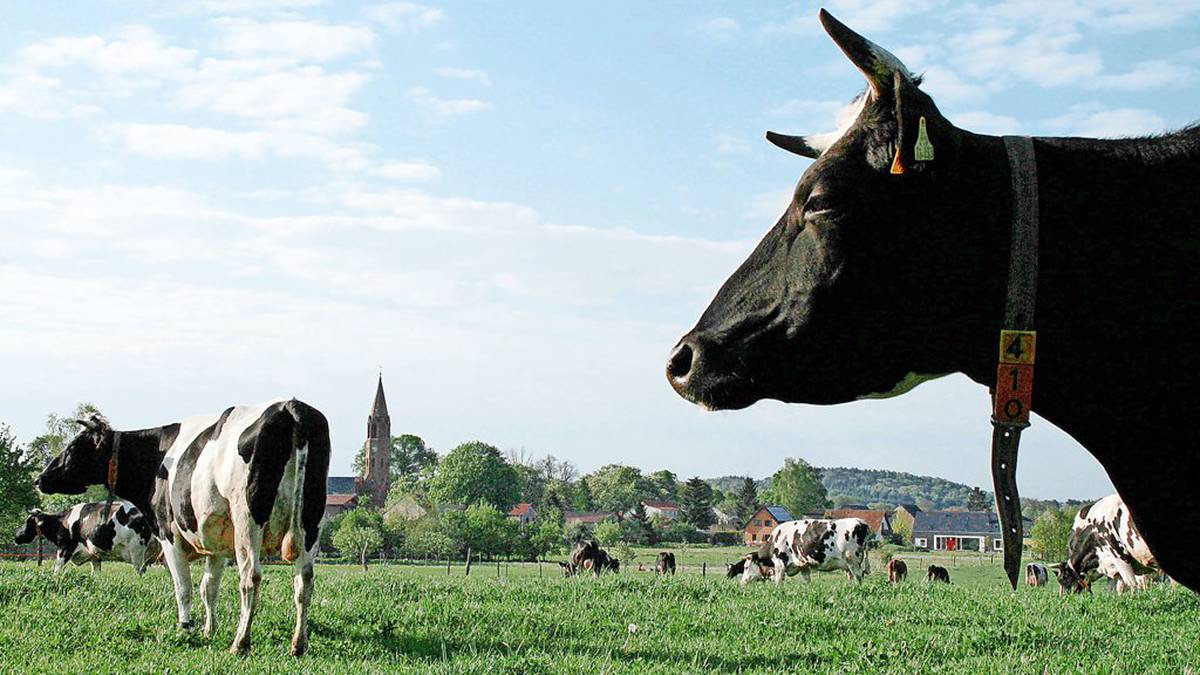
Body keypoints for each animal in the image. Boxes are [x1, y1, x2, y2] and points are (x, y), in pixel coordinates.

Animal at [13, 499, 157, 571]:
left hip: (136, 550)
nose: (16, 536)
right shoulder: (94, 555)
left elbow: (57, 568)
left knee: (140, 571)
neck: (63, 522)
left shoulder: (65, 548)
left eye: (28, 521)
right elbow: (96, 573)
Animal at [35, 398, 331, 653]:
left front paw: (185, 628)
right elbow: (208, 588)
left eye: (73, 449)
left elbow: (184, 588)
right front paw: (209, 630)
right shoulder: (216, 542)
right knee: (304, 581)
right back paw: (299, 644)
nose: (40, 479)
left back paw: (241, 642)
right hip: (311, 519)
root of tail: (292, 407)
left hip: (248, 520)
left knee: (251, 578)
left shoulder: (170, 536)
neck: (158, 457)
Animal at [734, 514, 868, 583]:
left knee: (859, 575)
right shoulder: (803, 565)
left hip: (852, 559)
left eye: (746, 567)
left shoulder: (780, 564)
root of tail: (861, 522)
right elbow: (807, 581)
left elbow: (778, 583)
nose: (742, 582)